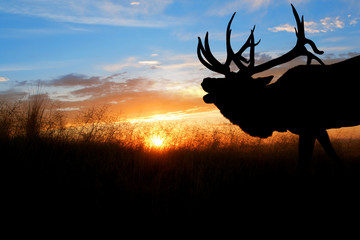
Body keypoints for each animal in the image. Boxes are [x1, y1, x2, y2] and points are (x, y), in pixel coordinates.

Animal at [197, 3, 360, 172]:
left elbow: (303, 164)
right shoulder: (319, 128)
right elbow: (335, 157)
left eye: (235, 83)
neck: (278, 114)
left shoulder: (309, 126)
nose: (205, 81)